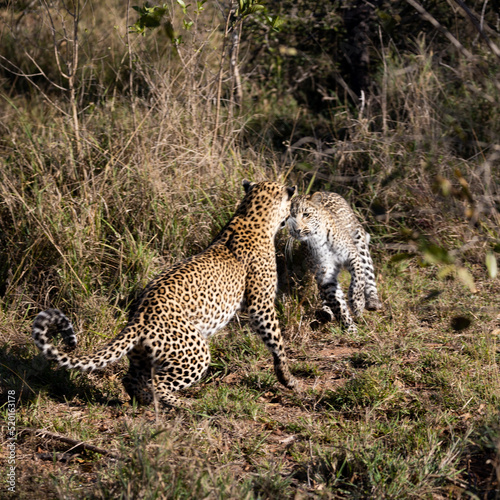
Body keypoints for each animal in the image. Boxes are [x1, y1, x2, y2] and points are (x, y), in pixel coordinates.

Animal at [33, 182, 298, 408]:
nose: (293, 216)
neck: (250, 215)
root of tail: (138, 317)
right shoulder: (261, 305)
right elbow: (277, 342)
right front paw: (288, 379)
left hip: (143, 356)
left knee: (131, 379)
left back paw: (147, 402)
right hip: (195, 353)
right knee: (158, 382)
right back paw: (181, 404)